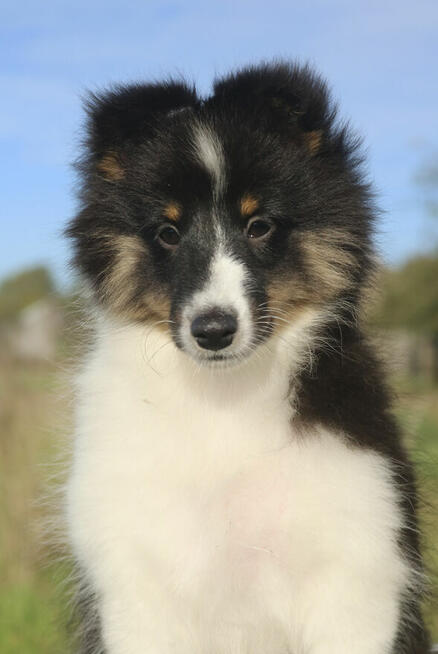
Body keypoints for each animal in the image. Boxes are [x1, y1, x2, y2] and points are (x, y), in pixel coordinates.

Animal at [65, 62, 428, 654]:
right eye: (168, 232)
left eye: (259, 225)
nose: (213, 331)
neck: (225, 400)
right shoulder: (135, 585)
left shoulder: (359, 577)